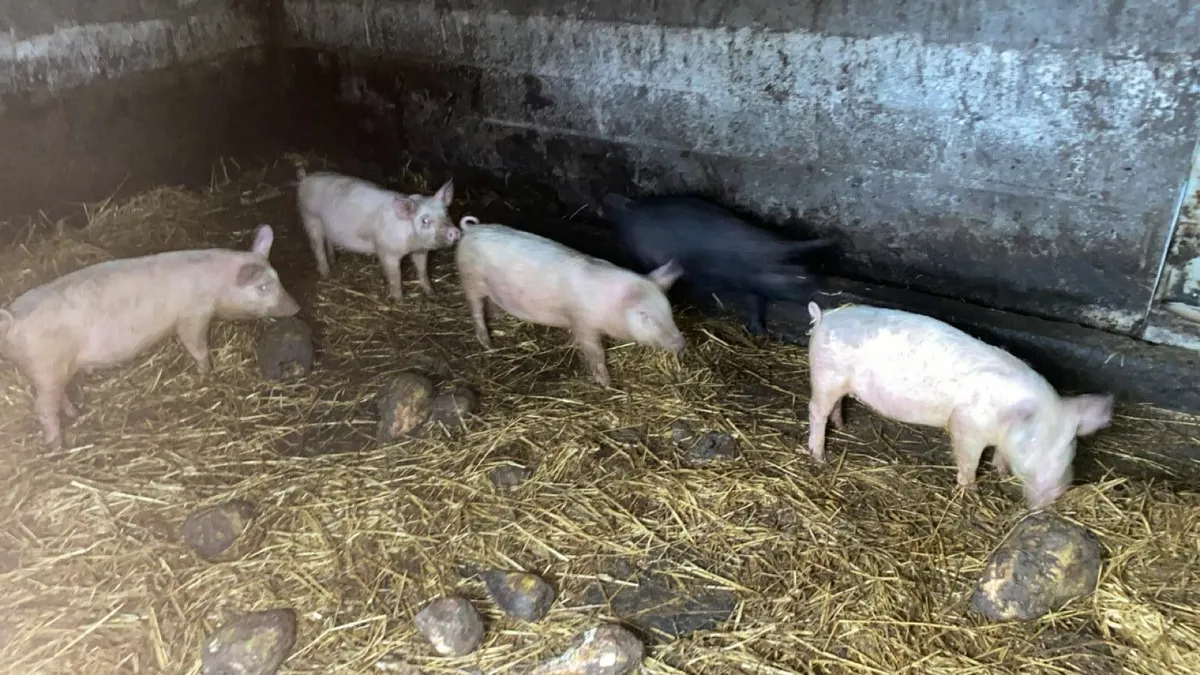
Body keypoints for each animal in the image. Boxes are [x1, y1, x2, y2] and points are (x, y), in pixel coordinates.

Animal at [0, 224, 301, 448]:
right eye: (263, 287)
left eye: (278, 278)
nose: (297, 307)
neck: (216, 284)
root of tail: (12, 322)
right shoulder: (192, 315)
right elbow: (195, 345)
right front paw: (207, 373)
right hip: (46, 367)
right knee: (42, 407)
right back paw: (58, 445)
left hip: (56, 371)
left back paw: (76, 413)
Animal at [295, 168, 461, 300]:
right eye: (425, 220)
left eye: (446, 213)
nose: (454, 231)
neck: (411, 243)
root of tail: (306, 178)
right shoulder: (387, 251)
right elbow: (395, 276)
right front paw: (400, 300)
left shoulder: (420, 251)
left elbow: (422, 270)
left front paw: (432, 293)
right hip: (310, 217)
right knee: (317, 247)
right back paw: (327, 274)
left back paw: (333, 259)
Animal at [454, 221, 686, 387]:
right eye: (645, 316)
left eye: (669, 311)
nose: (681, 343)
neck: (608, 306)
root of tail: (471, 229)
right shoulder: (583, 322)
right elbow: (595, 353)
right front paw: (607, 384)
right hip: (470, 279)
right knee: (476, 308)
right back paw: (487, 343)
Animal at [600, 193, 836, 337]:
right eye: (801, 277)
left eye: (814, 271)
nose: (826, 297)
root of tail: (630, 209)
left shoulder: (751, 285)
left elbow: (755, 305)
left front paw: (761, 333)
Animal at [804, 302, 1114, 511]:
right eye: (1032, 445)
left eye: (1069, 447)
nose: (1052, 497)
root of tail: (824, 317)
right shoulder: (966, 425)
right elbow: (968, 461)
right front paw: (973, 491)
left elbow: (1000, 455)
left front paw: (1001, 472)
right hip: (825, 377)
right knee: (816, 410)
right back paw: (820, 456)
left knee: (837, 405)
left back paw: (843, 425)